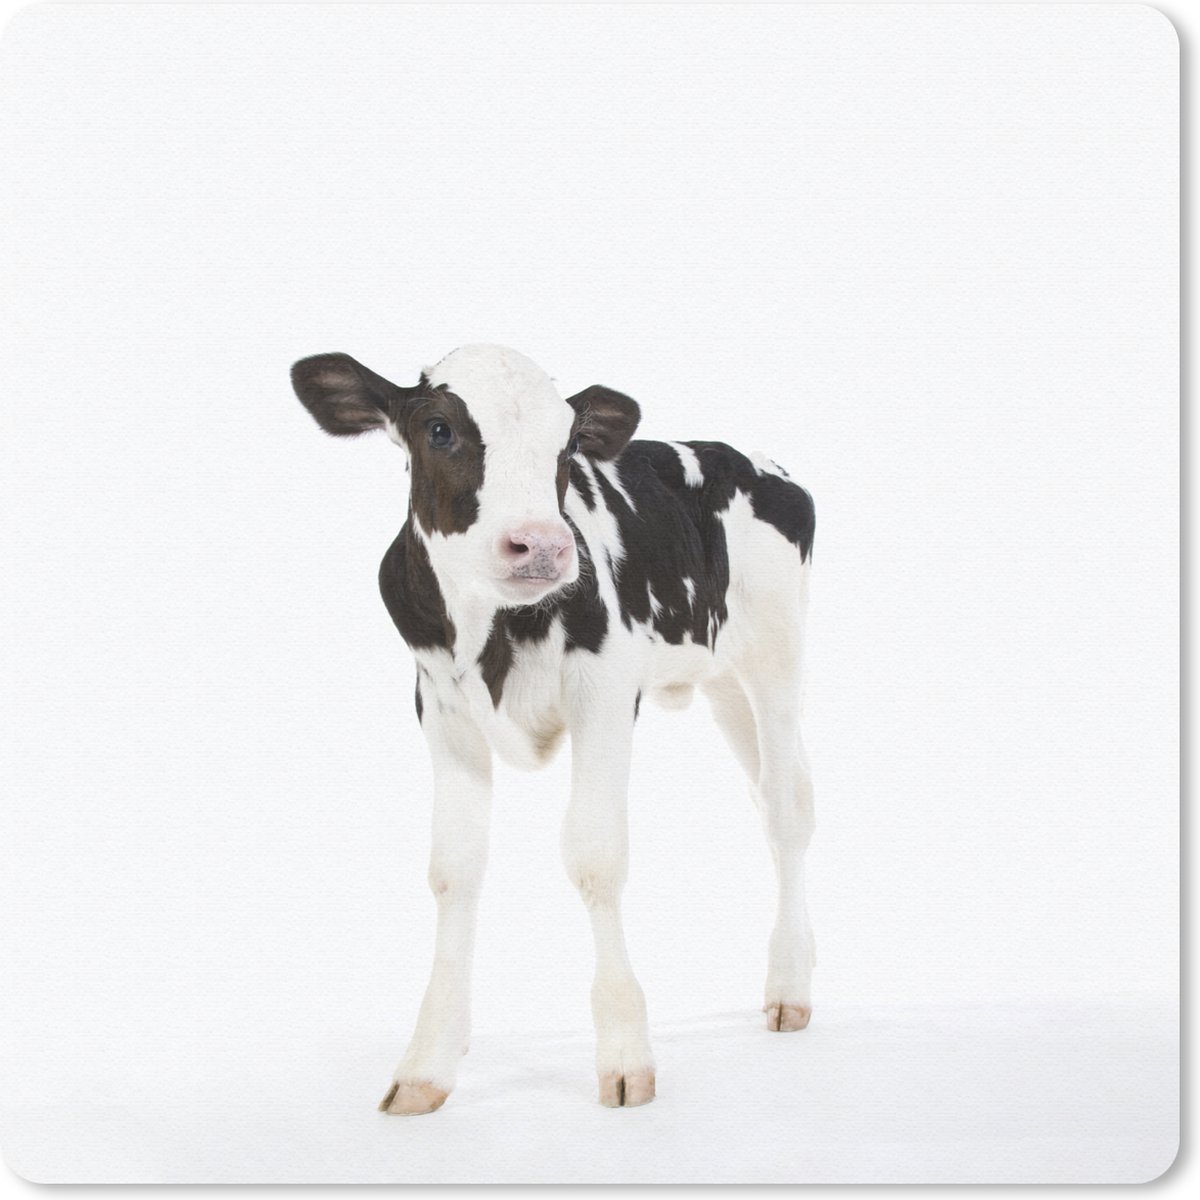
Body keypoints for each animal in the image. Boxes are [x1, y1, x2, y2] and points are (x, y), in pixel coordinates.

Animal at [291, 343, 817, 1114]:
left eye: (565, 445)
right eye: (440, 429)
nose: (540, 544)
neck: (490, 629)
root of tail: (750, 458)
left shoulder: (606, 693)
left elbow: (596, 858)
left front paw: (625, 1054)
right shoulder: (441, 708)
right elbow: (453, 870)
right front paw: (431, 1058)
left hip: (776, 653)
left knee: (787, 808)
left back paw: (790, 987)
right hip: (722, 680)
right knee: (765, 796)